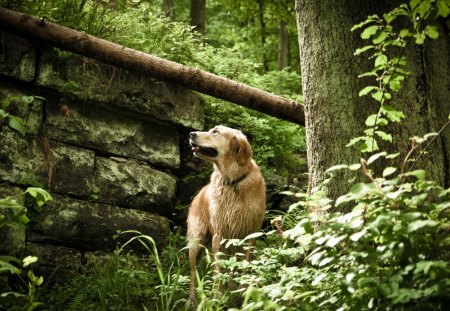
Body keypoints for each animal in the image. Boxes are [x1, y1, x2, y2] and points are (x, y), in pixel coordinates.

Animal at [187, 125, 268, 304]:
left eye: (215, 132)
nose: (191, 133)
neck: (233, 181)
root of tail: (198, 194)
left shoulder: (250, 234)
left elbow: (245, 265)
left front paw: (245, 291)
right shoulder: (220, 234)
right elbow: (218, 268)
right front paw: (218, 295)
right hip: (196, 242)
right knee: (193, 273)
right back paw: (192, 299)